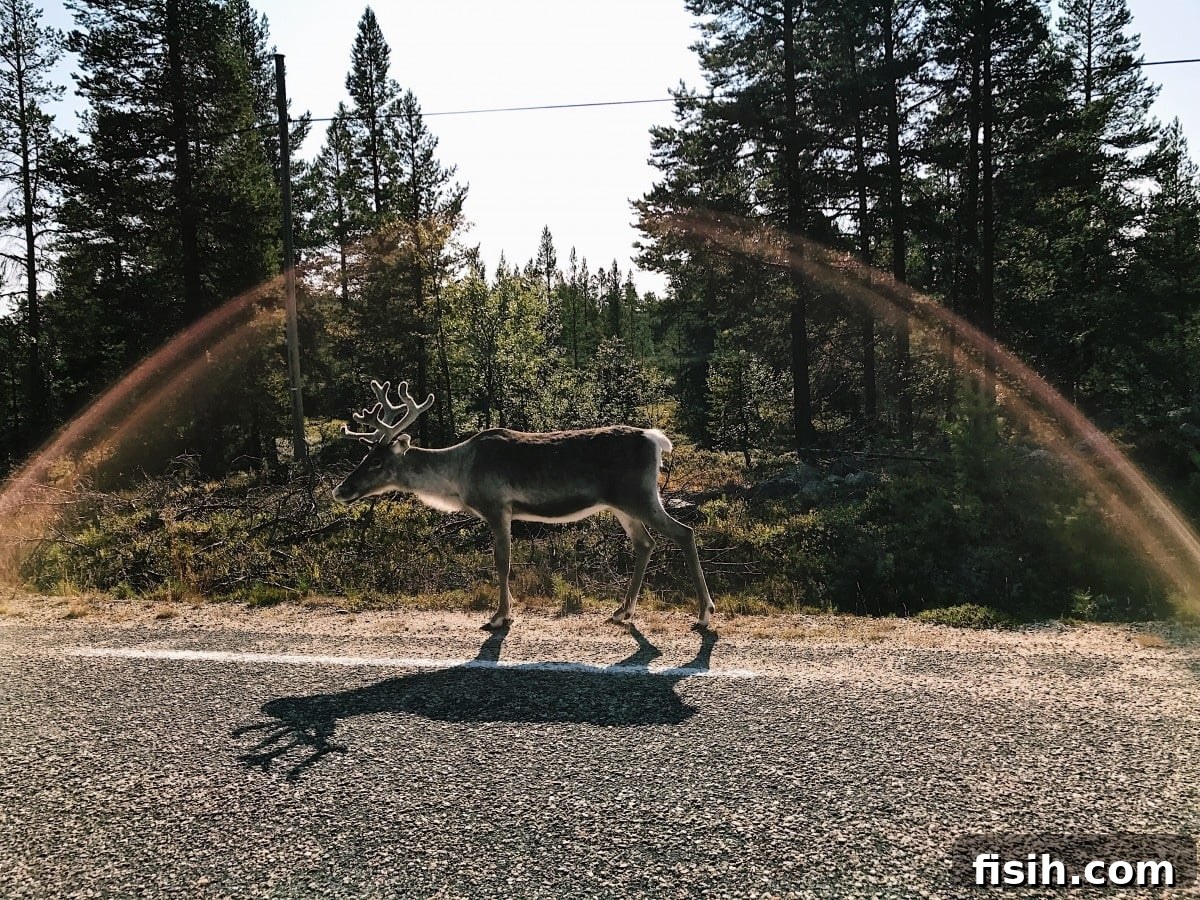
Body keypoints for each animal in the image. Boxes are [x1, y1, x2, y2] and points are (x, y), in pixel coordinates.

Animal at [332, 379, 715, 631]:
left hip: (639, 497)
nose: (340, 490)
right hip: (622, 504)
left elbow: (502, 561)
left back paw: (704, 613)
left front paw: (500, 615)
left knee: (684, 532)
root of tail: (657, 440)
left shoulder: (497, 507)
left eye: (376, 461)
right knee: (645, 543)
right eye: (365, 455)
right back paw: (623, 611)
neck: (457, 477)